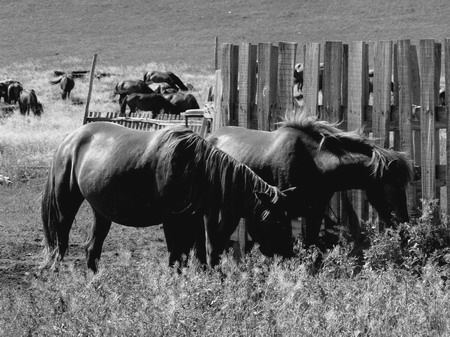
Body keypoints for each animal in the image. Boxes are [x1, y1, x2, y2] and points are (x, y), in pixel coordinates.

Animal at [206, 113, 414, 247]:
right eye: (393, 188)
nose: (405, 227)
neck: (312, 163)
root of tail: (210, 136)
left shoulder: (314, 213)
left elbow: (311, 247)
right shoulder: (283, 212)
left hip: (231, 211)